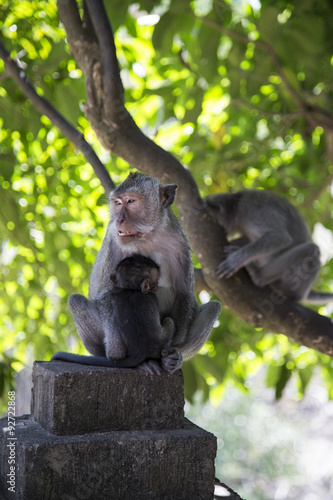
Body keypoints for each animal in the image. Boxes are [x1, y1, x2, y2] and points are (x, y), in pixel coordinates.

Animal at [63, 172, 222, 372]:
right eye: (117, 202)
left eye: (131, 201)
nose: (119, 219)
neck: (148, 237)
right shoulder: (114, 241)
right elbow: (107, 294)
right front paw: (120, 353)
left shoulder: (179, 241)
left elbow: (184, 292)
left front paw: (175, 349)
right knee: (76, 301)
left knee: (213, 308)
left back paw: (173, 359)